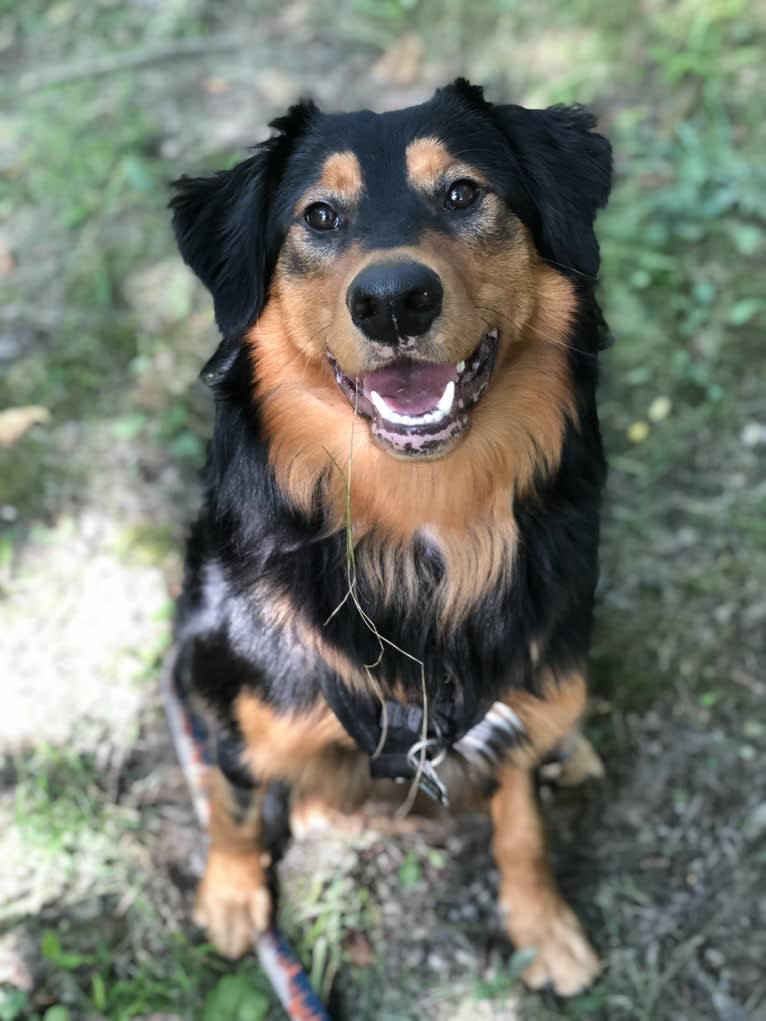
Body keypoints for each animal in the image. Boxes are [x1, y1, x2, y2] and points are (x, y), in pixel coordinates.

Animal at [170, 79, 616, 996]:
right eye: (319, 215)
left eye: (463, 194)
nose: (393, 300)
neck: (424, 515)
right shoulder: (233, 689)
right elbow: (232, 795)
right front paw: (231, 895)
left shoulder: (522, 673)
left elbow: (520, 813)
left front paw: (543, 923)